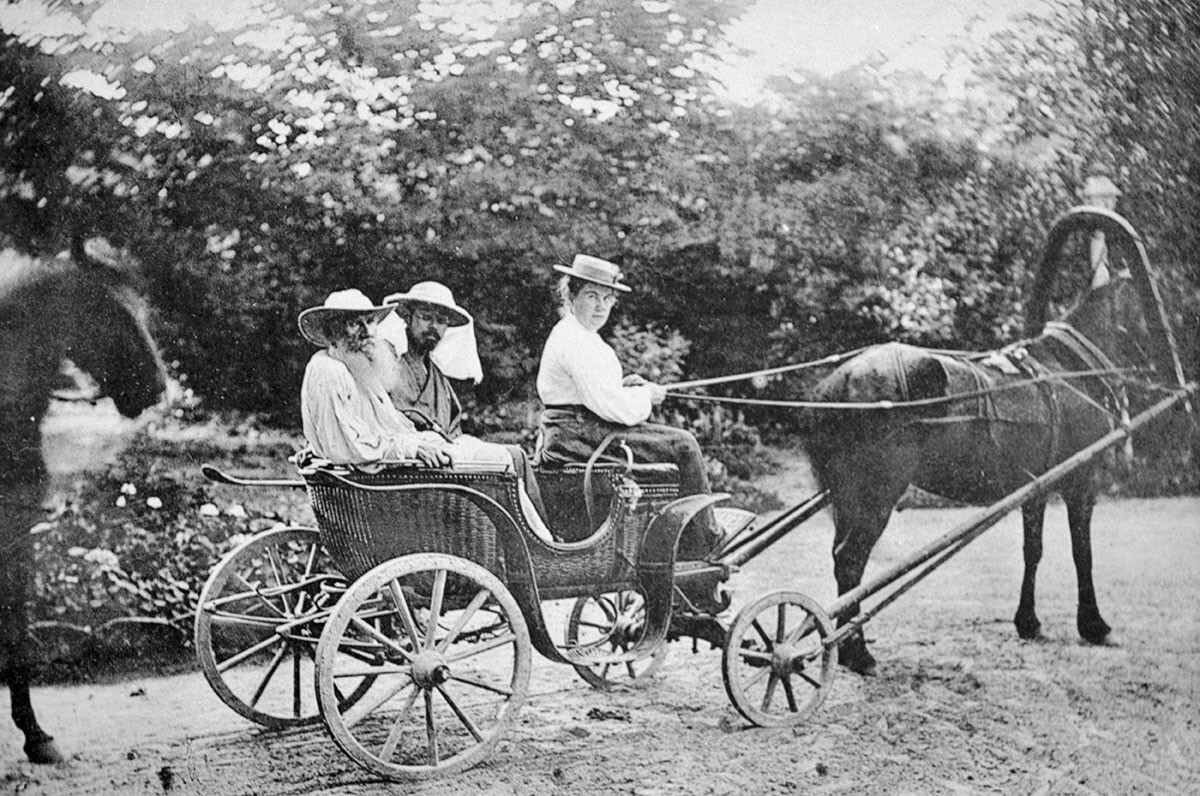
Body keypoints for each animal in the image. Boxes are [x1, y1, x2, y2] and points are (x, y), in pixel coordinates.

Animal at [801, 252, 1166, 677]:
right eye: (1152, 297)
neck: (1071, 370)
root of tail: (836, 383)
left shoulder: (1035, 488)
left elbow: (1033, 549)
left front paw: (1029, 622)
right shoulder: (1081, 481)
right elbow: (1083, 553)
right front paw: (1094, 625)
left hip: (847, 495)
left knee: (841, 559)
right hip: (877, 493)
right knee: (851, 560)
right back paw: (857, 652)